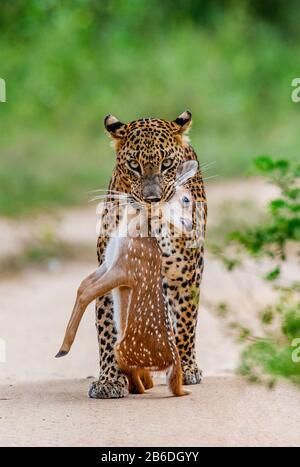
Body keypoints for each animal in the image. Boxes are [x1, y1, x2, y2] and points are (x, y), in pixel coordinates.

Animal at [88, 109, 207, 398]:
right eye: (134, 165)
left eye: (166, 164)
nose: (152, 199)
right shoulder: (110, 275)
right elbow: (107, 329)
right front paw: (109, 381)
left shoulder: (184, 274)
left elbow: (185, 321)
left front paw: (186, 369)